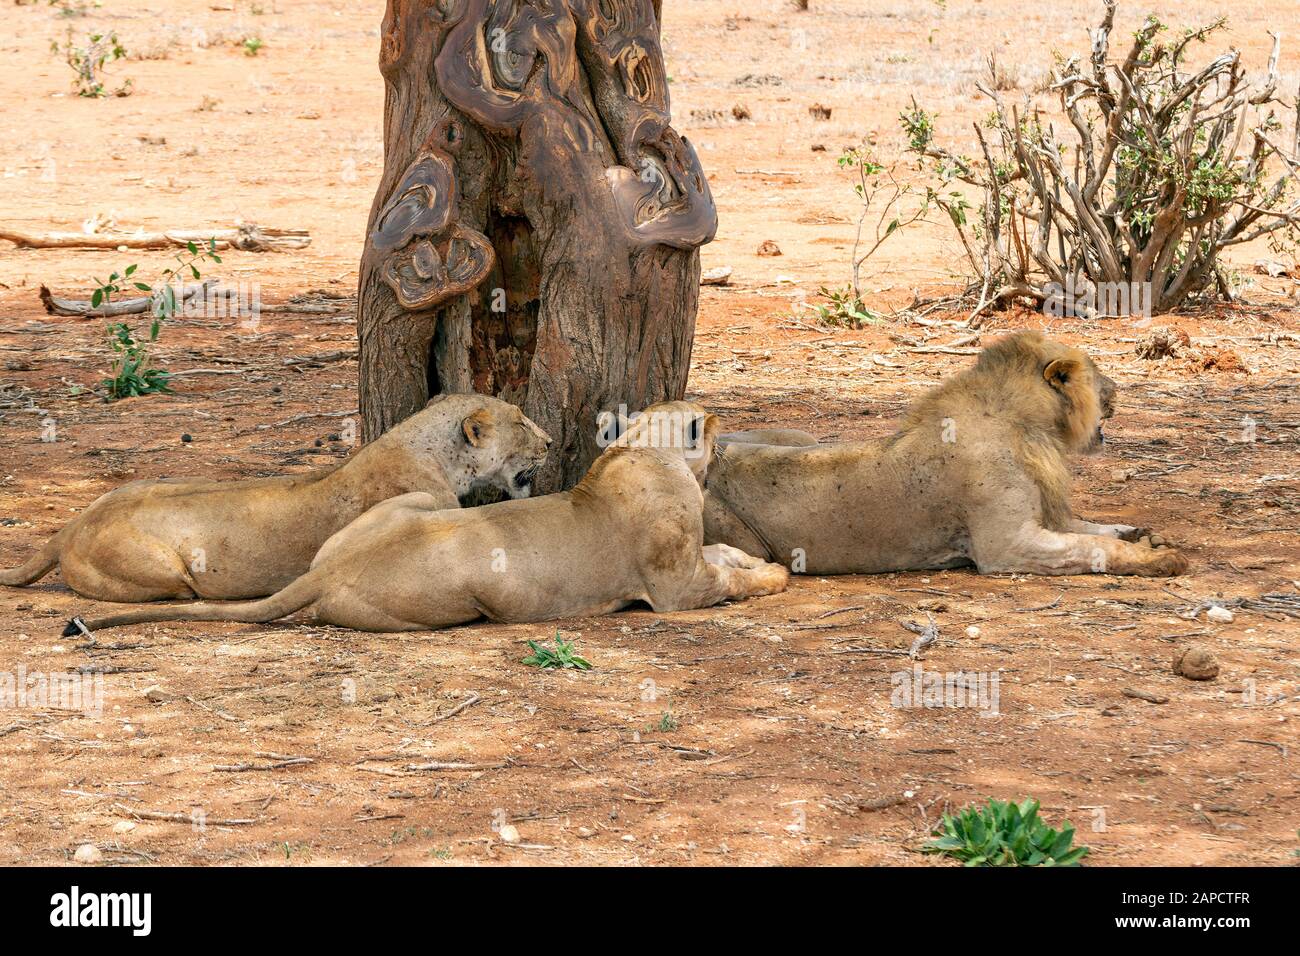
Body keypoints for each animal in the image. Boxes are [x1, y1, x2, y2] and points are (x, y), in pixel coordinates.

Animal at [64, 402, 789, 634]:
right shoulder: (674, 587)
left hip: (407, 506)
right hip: (460, 591)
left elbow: (730, 558)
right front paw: (776, 574)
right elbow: (731, 579)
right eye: (705, 419)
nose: (722, 425)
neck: (640, 452)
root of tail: (332, 569)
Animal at [703, 331, 1188, 578]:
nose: (1117, 390)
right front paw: (1159, 558)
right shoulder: (1006, 546)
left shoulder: (1043, 517)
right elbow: (1092, 548)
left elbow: (1095, 529)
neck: (1034, 432)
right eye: (1097, 374)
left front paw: (1142, 534)